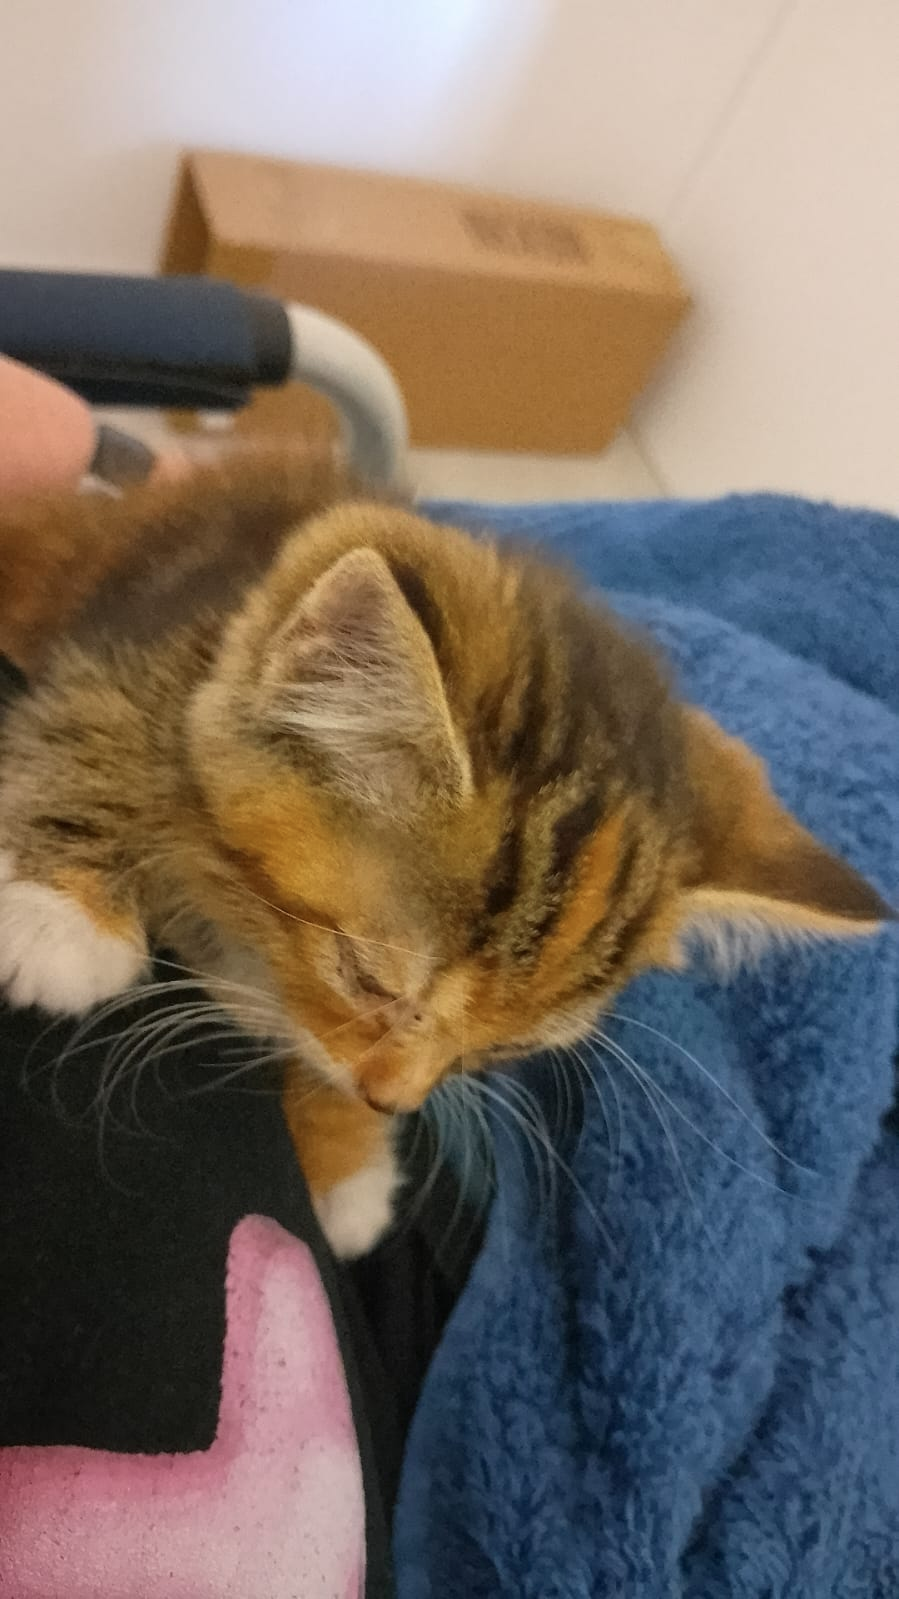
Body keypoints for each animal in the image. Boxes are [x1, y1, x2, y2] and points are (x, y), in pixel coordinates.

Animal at [0, 450, 883, 1247]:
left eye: (502, 1048)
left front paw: (343, 1158)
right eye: (366, 978)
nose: (393, 1100)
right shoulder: (167, 634)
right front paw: (60, 913)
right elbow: (101, 711)